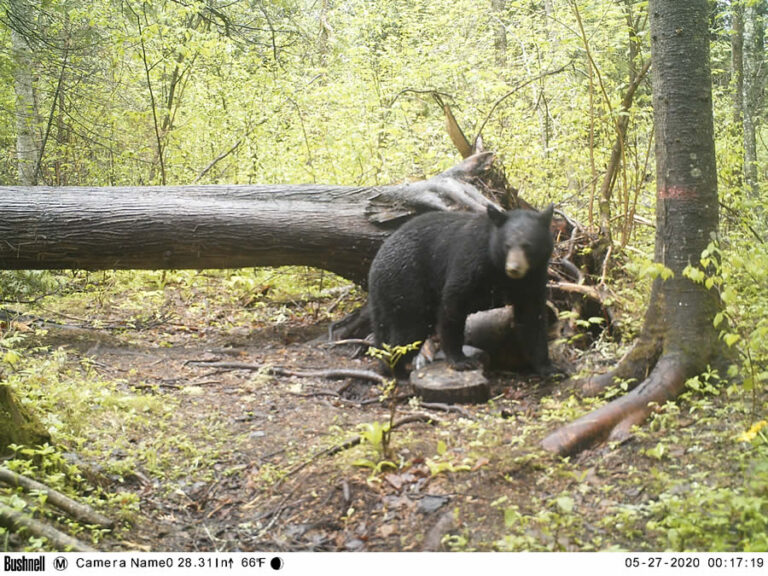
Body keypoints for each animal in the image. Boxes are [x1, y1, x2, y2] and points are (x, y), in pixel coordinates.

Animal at [366, 205, 552, 376]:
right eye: (507, 245)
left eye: (527, 246)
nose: (514, 268)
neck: (497, 267)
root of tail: (375, 267)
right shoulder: (471, 262)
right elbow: (453, 304)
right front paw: (461, 361)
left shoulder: (533, 279)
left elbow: (532, 316)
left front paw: (547, 367)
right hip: (407, 283)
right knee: (410, 328)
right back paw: (396, 368)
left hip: (386, 297)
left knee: (384, 328)